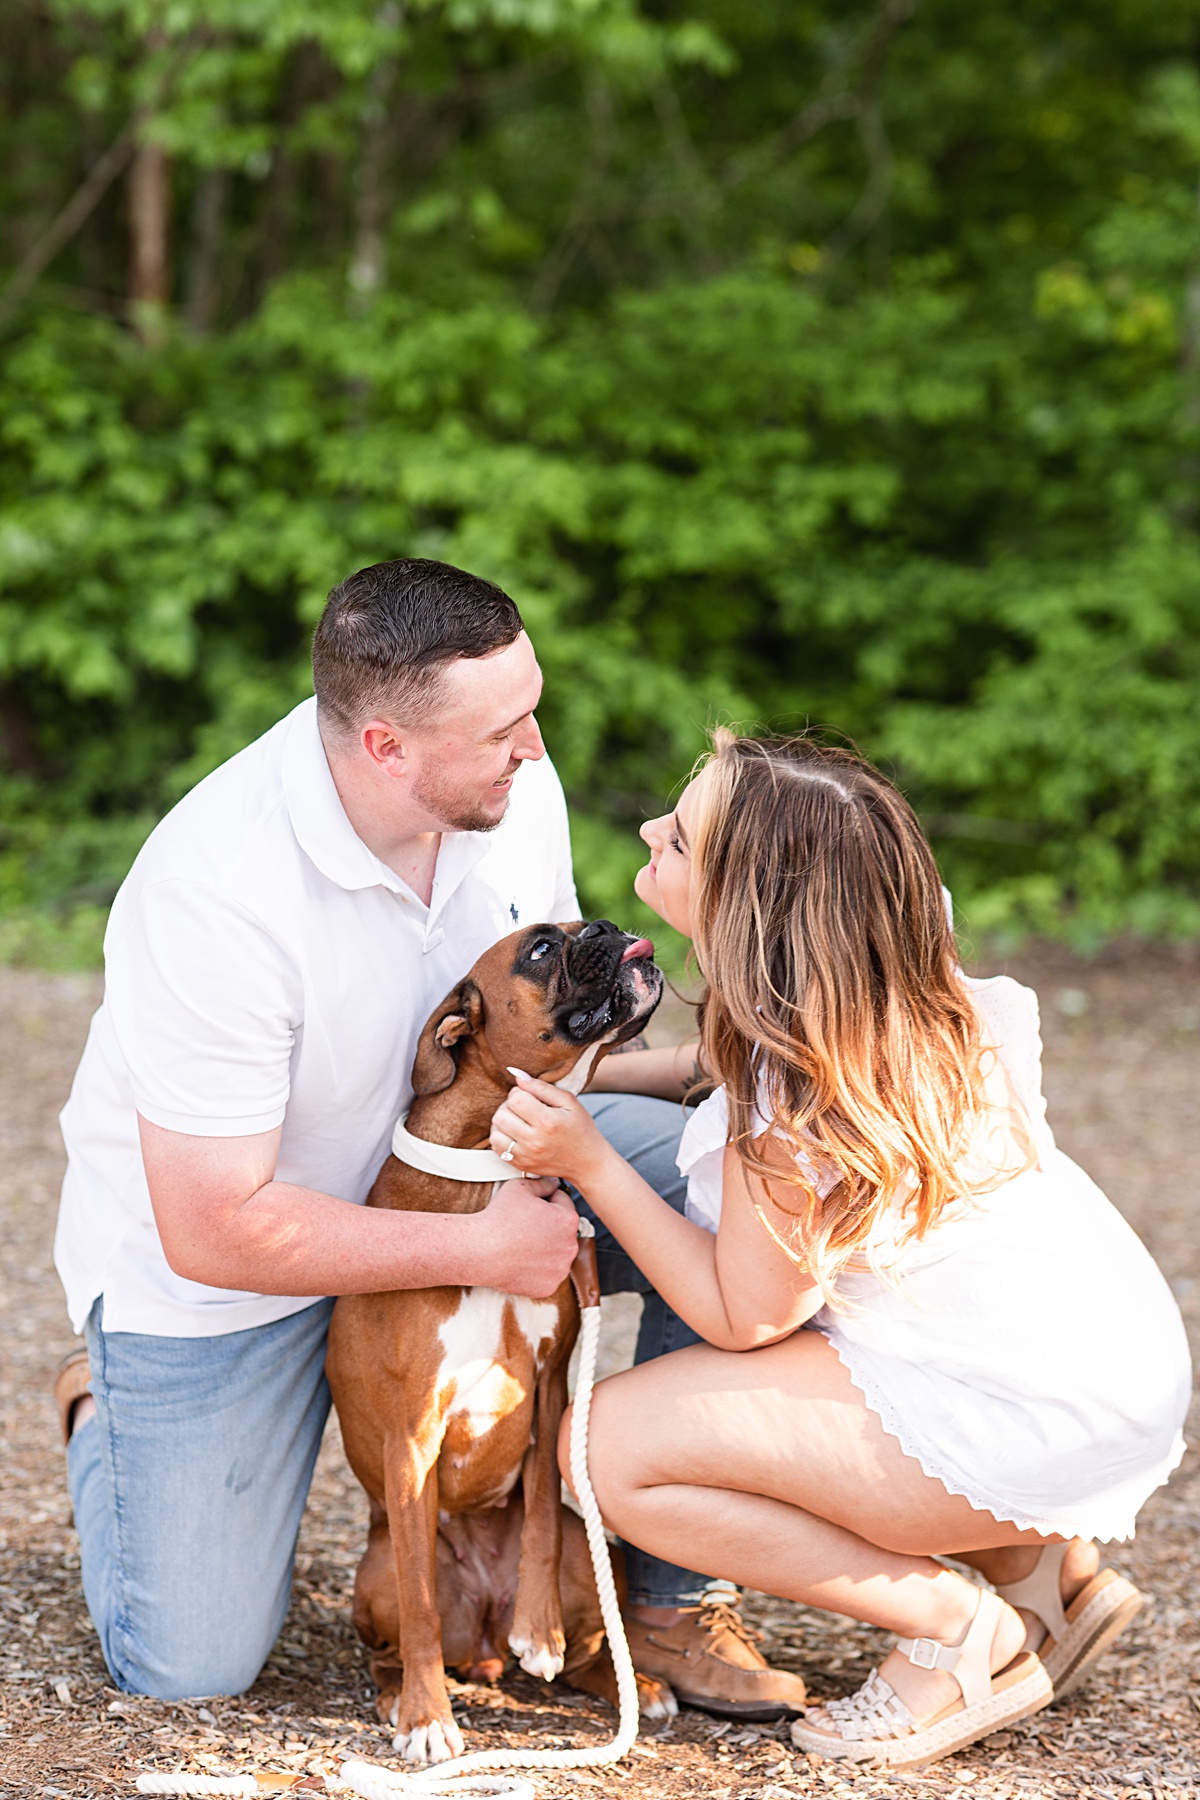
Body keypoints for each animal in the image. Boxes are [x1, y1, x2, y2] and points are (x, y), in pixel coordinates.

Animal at [323, 921, 672, 1764]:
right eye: (542, 948)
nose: (609, 928)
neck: (489, 1174)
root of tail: (481, 1641)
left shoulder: (549, 1387)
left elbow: (541, 1512)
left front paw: (537, 1630)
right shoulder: (412, 1435)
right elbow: (418, 1602)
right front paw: (427, 1719)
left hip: (599, 1551)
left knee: (589, 1649)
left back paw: (633, 1685)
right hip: (372, 1574)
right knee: (392, 1640)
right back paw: (400, 1697)